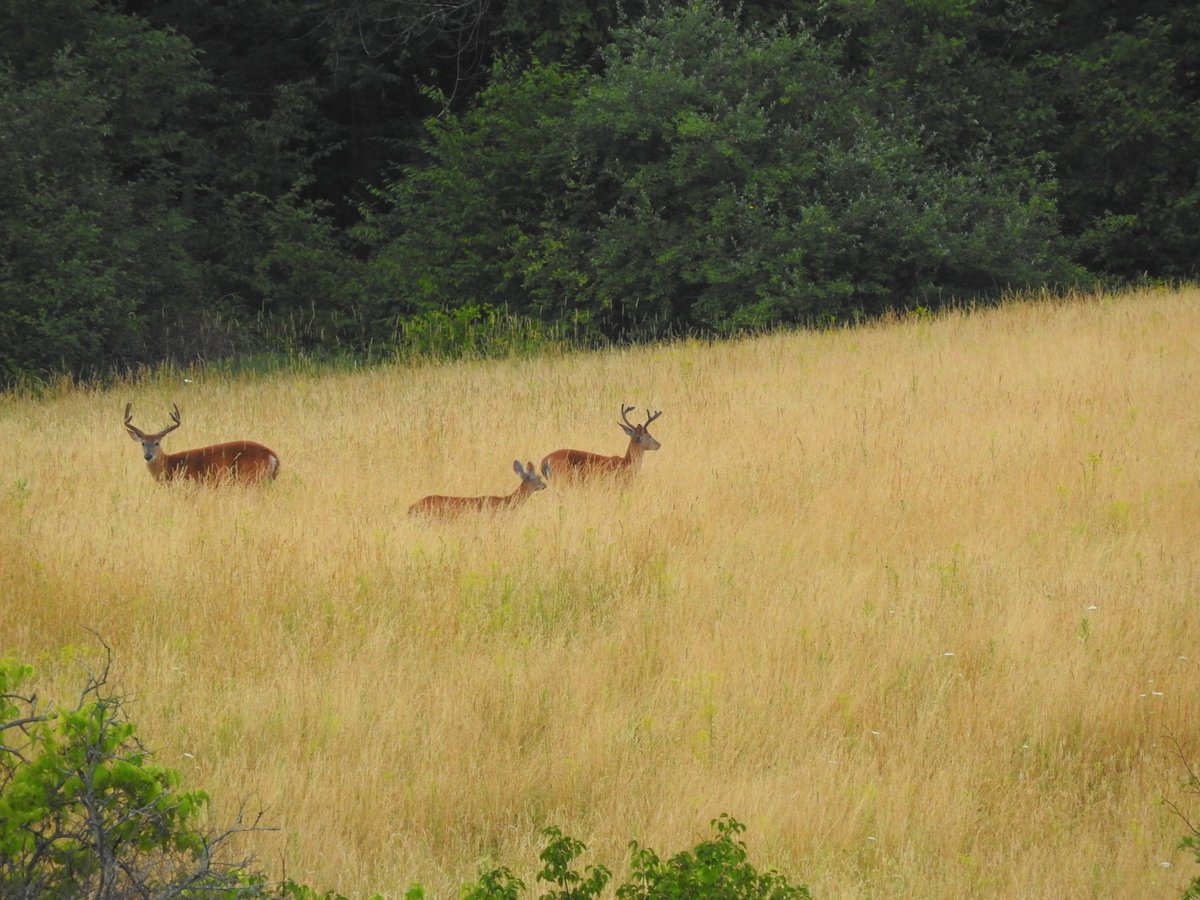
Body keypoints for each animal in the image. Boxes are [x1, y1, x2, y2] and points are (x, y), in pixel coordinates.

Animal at [123, 403, 280, 487]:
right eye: (143, 443)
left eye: (157, 443)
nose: (148, 456)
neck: (169, 465)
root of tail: (273, 456)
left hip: (251, 478)